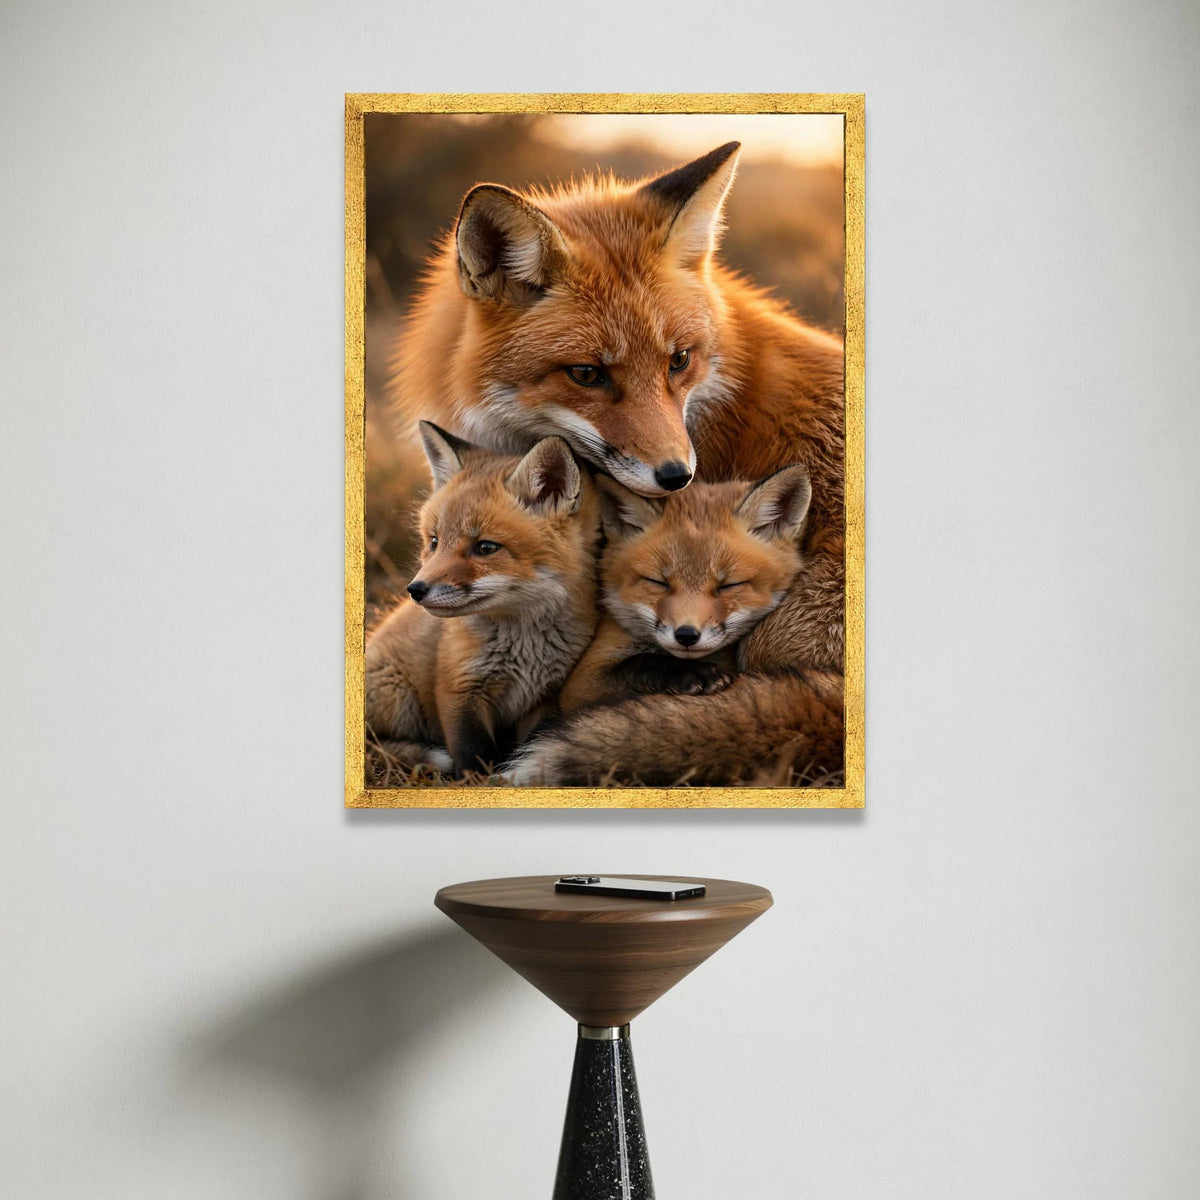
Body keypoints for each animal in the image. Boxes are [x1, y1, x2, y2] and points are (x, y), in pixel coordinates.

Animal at [363, 422, 600, 779]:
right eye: (434, 541)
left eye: (486, 548)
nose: (415, 590)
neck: (524, 646)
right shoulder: (458, 687)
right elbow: (471, 752)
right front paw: (474, 781)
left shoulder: (541, 697)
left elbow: (524, 744)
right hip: (397, 699)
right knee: (374, 742)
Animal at [556, 466, 812, 714]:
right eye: (658, 582)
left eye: (728, 585)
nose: (686, 635)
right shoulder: (579, 685)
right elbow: (639, 662)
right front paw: (686, 672)